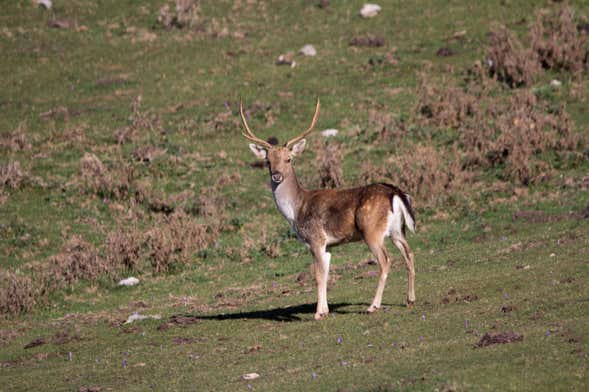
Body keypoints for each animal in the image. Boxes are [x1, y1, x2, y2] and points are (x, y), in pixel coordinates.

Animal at [238, 99, 414, 320]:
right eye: (267, 160)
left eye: (289, 159)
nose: (277, 175)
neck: (296, 211)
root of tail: (395, 193)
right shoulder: (328, 245)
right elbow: (327, 275)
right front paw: (326, 310)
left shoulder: (315, 240)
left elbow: (318, 276)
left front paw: (319, 313)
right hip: (397, 230)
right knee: (409, 253)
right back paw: (410, 300)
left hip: (372, 231)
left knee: (385, 261)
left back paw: (373, 306)